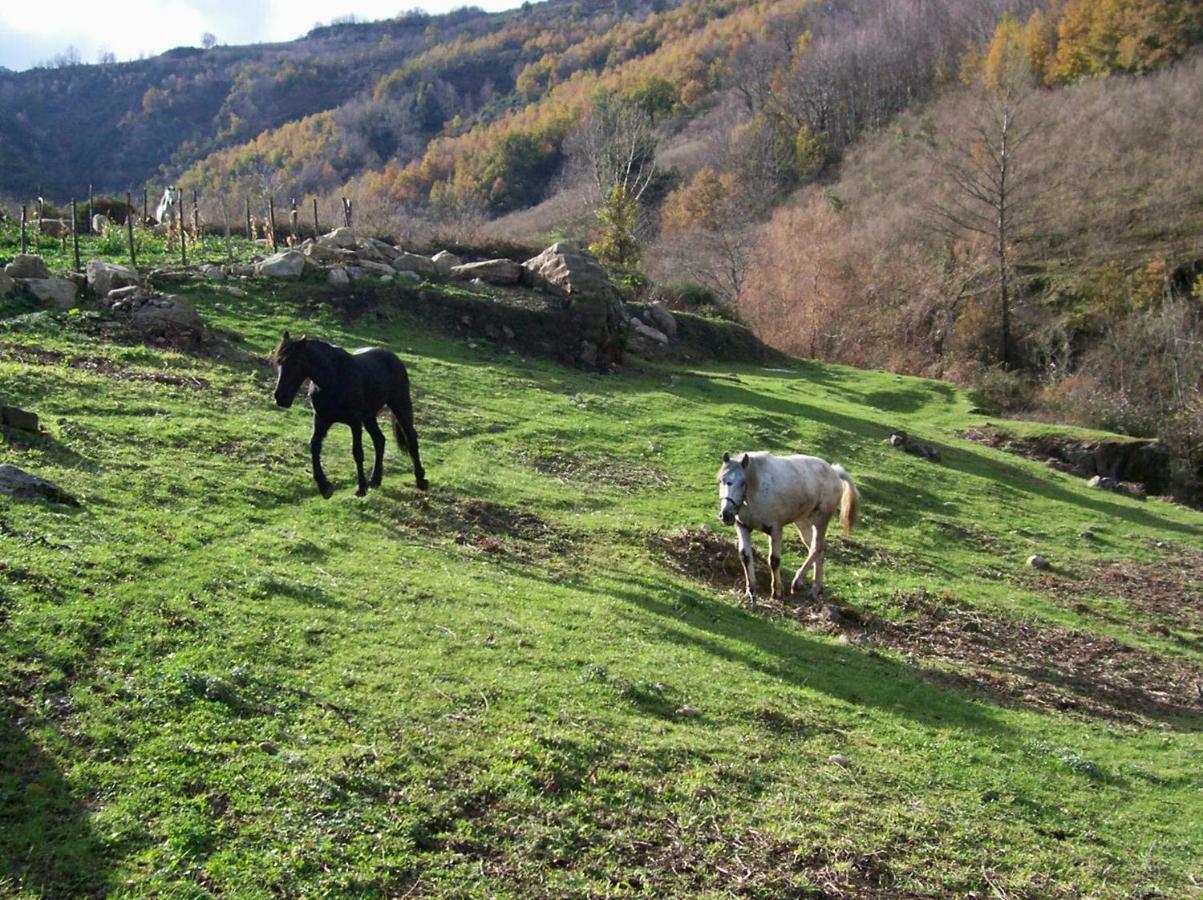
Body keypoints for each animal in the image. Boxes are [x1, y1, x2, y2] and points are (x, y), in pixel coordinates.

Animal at [270, 332, 430, 495]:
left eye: (296, 362)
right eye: (279, 362)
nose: (280, 397)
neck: (334, 378)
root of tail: (393, 357)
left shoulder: (355, 422)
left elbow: (357, 452)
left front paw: (361, 488)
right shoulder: (321, 419)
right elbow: (314, 446)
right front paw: (324, 486)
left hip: (399, 405)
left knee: (411, 438)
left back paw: (420, 480)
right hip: (369, 416)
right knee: (379, 440)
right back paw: (375, 480)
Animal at [716, 450, 861, 604]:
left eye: (743, 482)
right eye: (722, 481)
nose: (726, 514)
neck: (756, 492)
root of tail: (834, 471)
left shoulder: (775, 530)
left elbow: (774, 560)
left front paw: (777, 592)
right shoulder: (743, 527)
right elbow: (745, 556)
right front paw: (751, 591)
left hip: (821, 519)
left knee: (817, 547)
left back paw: (798, 581)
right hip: (803, 521)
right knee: (817, 548)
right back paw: (816, 588)